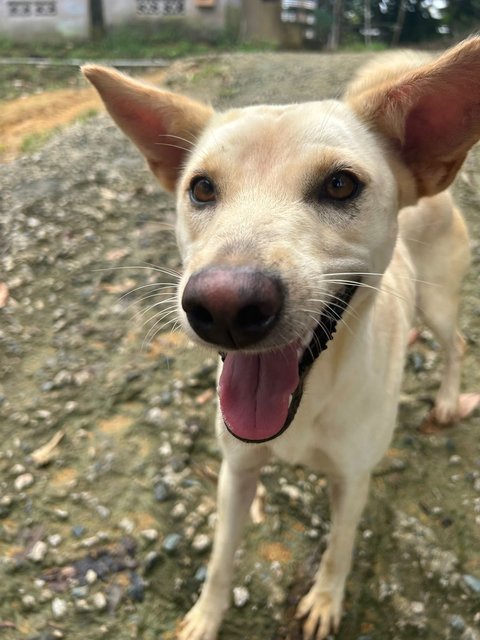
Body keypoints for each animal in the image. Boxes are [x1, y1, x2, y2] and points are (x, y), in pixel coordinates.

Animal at [84, 40, 480, 640]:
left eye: (340, 184)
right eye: (201, 188)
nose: (224, 307)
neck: (309, 397)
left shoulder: (353, 479)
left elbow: (340, 548)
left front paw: (324, 601)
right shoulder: (236, 472)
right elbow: (221, 557)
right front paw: (206, 615)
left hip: (438, 304)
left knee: (455, 344)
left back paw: (447, 399)